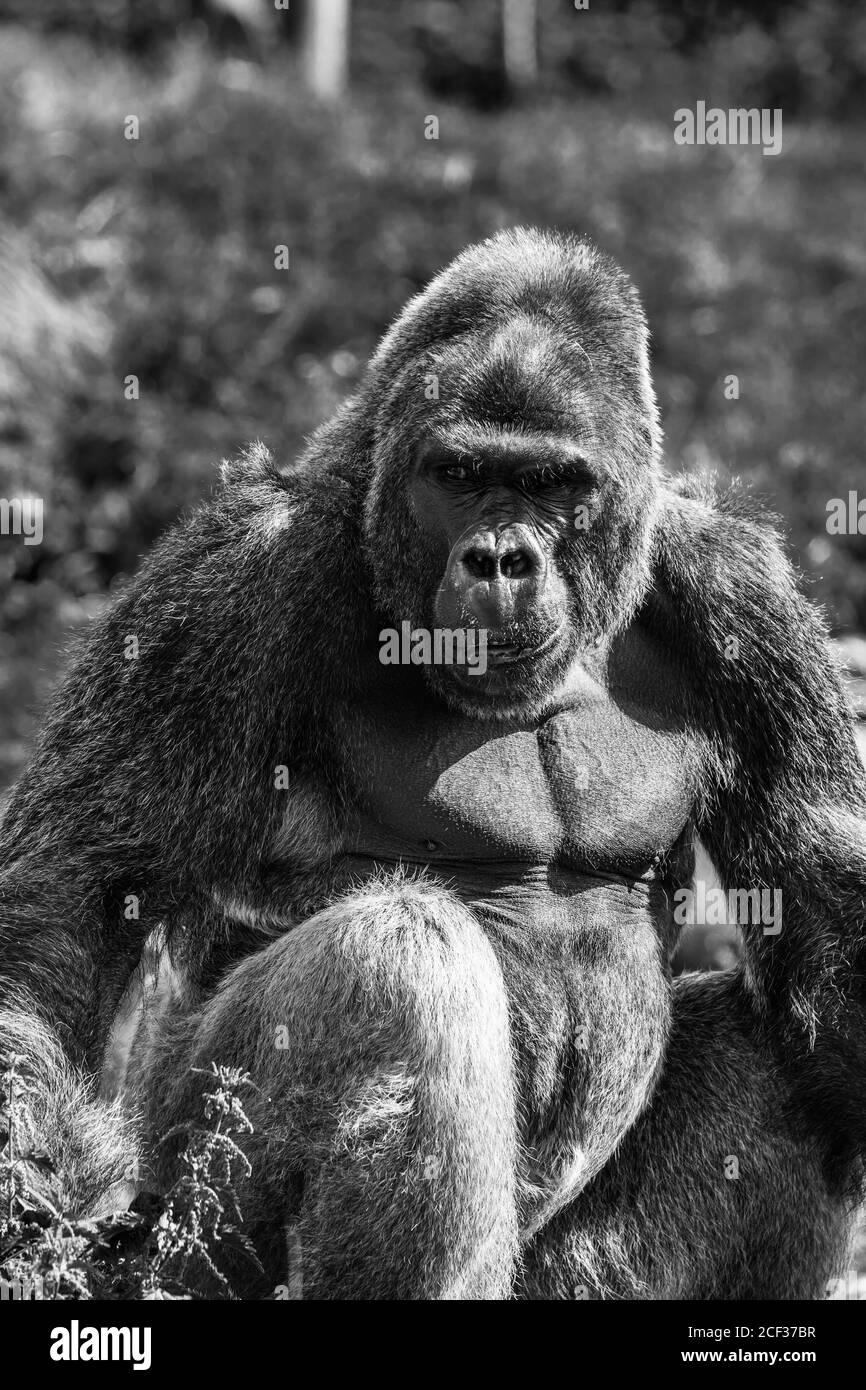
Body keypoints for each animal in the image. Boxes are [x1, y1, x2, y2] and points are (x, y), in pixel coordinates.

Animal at [1, 227, 864, 1298]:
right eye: (458, 473)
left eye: (551, 484)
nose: (500, 559)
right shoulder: (238, 572)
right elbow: (82, 886)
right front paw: (32, 1175)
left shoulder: (743, 591)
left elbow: (822, 903)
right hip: (185, 1233)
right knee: (400, 960)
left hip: (554, 1275)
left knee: (782, 1056)